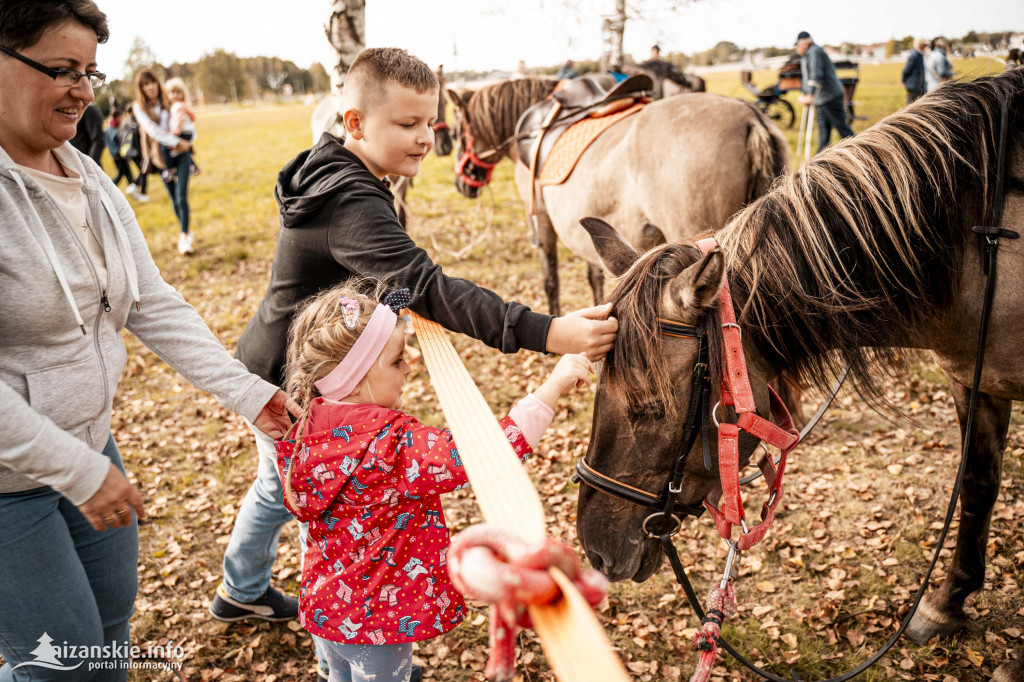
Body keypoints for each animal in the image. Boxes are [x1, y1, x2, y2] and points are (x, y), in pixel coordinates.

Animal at [444, 75, 786, 315]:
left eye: (457, 130)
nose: (461, 183)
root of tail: (751, 118)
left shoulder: (542, 222)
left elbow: (550, 280)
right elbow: (597, 275)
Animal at [577, 70, 1024, 679]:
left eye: (650, 407)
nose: (594, 549)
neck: (974, 247)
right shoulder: (973, 381)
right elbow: (978, 484)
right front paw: (947, 603)